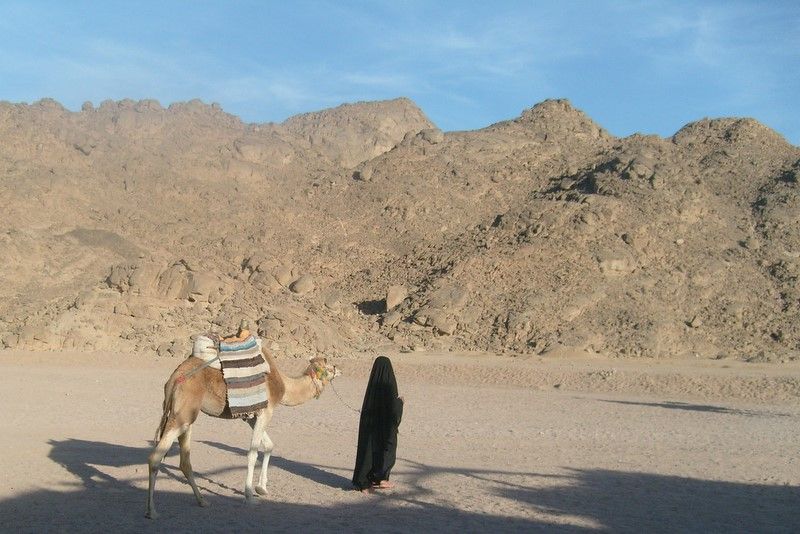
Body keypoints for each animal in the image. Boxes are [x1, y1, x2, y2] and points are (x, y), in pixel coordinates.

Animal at [145, 349, 340, 519]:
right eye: (330, 367)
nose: (339, 369)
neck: (283, 385)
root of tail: (173, 379)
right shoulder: (266, 411)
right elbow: (252, 453)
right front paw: (250, 496)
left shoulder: (251, 417)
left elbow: (269, 446)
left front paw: (262, 488)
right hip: (182, 415)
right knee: (155, 457)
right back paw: (152, 511)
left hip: (186, 416)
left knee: (185, 462)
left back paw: (202, 501)